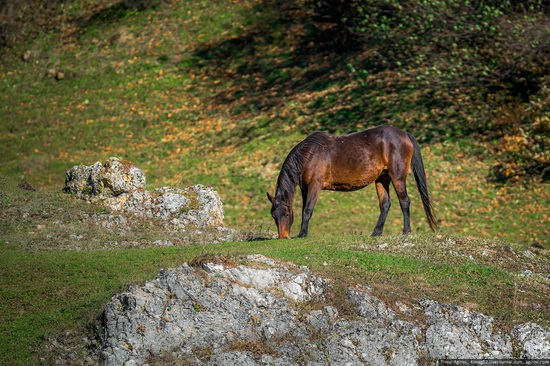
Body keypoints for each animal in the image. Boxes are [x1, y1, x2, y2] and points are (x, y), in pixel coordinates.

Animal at [268, 126, 440, 239]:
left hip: (397, 177)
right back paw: (376, 232)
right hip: (382, 179)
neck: (309, 155)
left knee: (404, 202)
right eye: (273, 215)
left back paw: (406, 231)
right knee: (385, 204)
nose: (283, 236)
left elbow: (308, 210)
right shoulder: (305, 188)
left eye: (286, 213)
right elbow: (305, 209)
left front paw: (303, 234)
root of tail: (405, 134)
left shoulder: (315, 186)